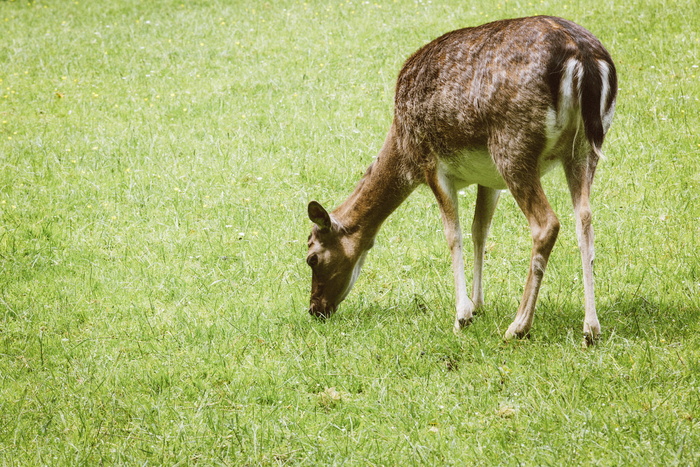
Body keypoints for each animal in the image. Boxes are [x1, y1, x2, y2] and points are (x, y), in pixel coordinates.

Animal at [306, 16, 616, 346]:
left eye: (311, 258)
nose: (315, 308)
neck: (402, 146)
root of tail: (583, 57)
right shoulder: (489, 179)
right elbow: (479, 229)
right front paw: (478, 305)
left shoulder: (431, 164)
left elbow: (453, 235)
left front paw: (462, 316)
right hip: (584, 148)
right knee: (584, 217)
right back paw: (591, 328)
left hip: (513, 146)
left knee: (546, 224)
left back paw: (518, 326)